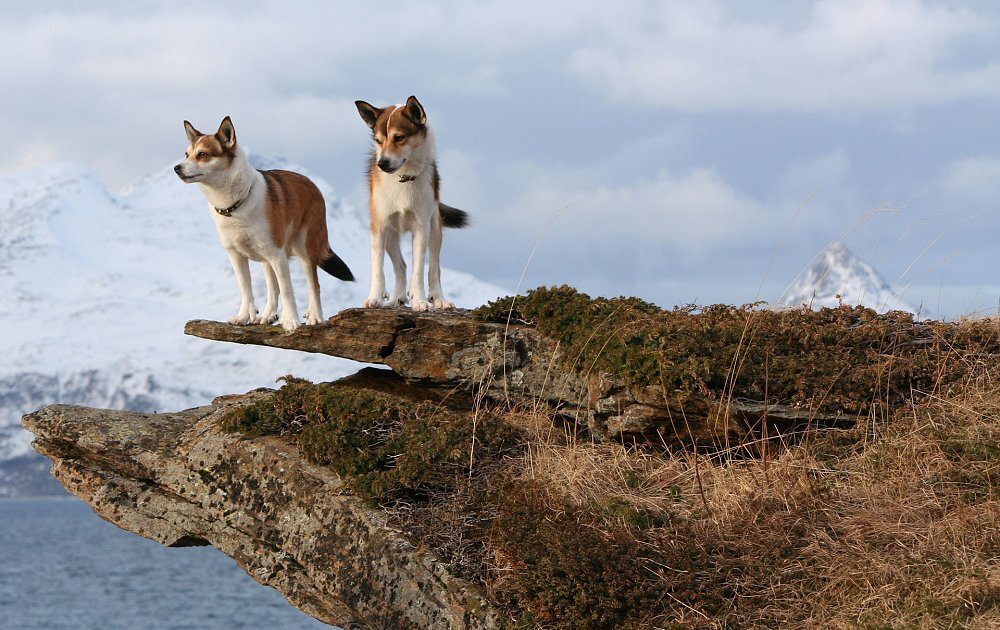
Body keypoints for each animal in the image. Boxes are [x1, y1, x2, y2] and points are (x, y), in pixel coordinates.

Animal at [174, 116, 354, 334]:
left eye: (202, 154)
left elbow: (287, 290)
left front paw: (291, 321)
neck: (234, 205)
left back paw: (314, 316)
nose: (177, 168)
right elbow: (246, 288)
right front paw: (243, 317)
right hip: (265, 258)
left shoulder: (277, 255)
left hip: (305, 249)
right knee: (272, 287)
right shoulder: (236, 255)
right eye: (186, 154)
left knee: (313, 285)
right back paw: (269, 315)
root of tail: (312, 184)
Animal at [356, 95, 468, 312]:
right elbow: (378, 268)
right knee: (400, 266)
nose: (382, 163)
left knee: (434, 268)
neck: (403, 177)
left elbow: (419, 271)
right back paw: (397, 298)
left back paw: (438, 298)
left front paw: (421, 301)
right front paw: (375, 297)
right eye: (378, 141)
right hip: (391, 235)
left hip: (435, 229)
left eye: (399, 137)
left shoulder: (421, 227)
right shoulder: (379, 226)